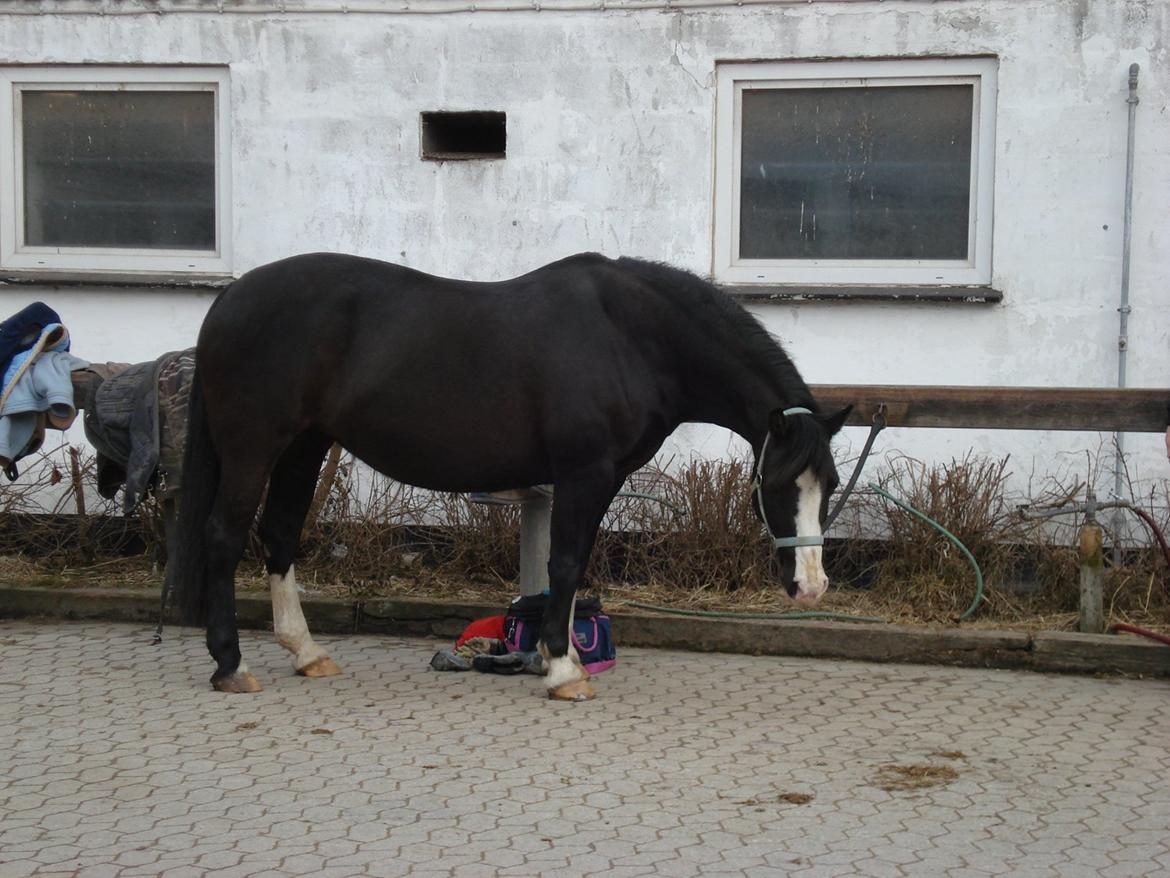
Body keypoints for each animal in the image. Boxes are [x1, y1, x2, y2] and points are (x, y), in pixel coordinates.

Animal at [174, 252, 851, 701]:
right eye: (777, 485)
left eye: (831, 486)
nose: (812, 587)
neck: (629, 337)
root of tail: (229, 299)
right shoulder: (583, 472)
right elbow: (565, 563)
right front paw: (564, 671)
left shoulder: (600, 479)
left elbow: (573, 566)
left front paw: (561, 654)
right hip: (254, 448)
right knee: (224, 538)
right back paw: (231, 665)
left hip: (304, 446)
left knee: (280, 535)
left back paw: (307, 653)